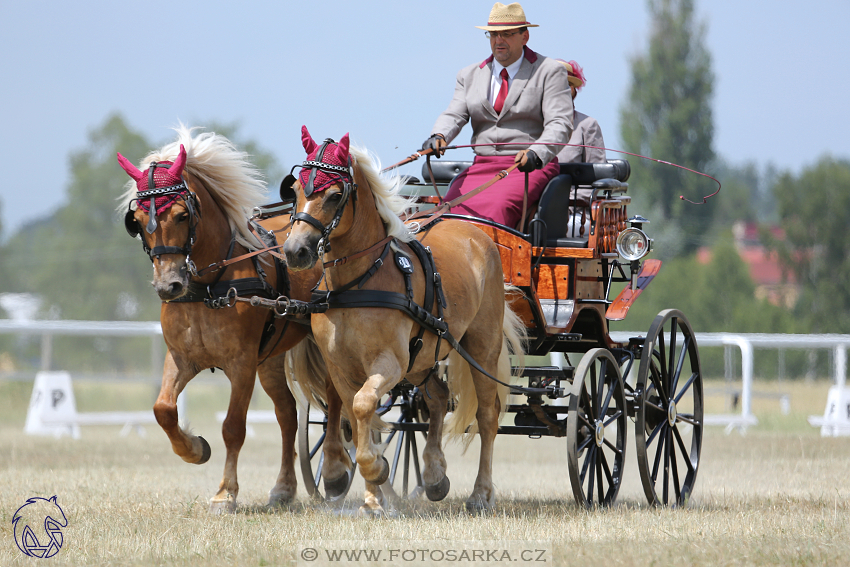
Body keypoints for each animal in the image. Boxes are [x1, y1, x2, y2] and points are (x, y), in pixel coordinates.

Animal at [117, 129, 342, 516]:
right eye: (138, 221)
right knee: (288, 414)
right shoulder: (181, 358)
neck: (209, 284)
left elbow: (233, 427)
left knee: (337, 402)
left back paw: (337, 470)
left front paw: (225, 494)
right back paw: (283, 489)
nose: (168, 285)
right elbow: (163, 410)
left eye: (181, 215)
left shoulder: (241, 364)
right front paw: (194, 449)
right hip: (271, 358)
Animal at [284, 126, 524, 516]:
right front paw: (372, 498)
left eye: (335, 195)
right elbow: (357, 416)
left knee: (488, 416)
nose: (295, 251)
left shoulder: (389, 363)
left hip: (481, 347)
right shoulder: (340, 368)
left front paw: (376, 470)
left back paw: (480, 494)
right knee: (438, 397)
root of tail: (478, 235)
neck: (359, 282)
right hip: (423, 356)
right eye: (294, 190)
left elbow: (363, 406)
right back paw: (435, 475)